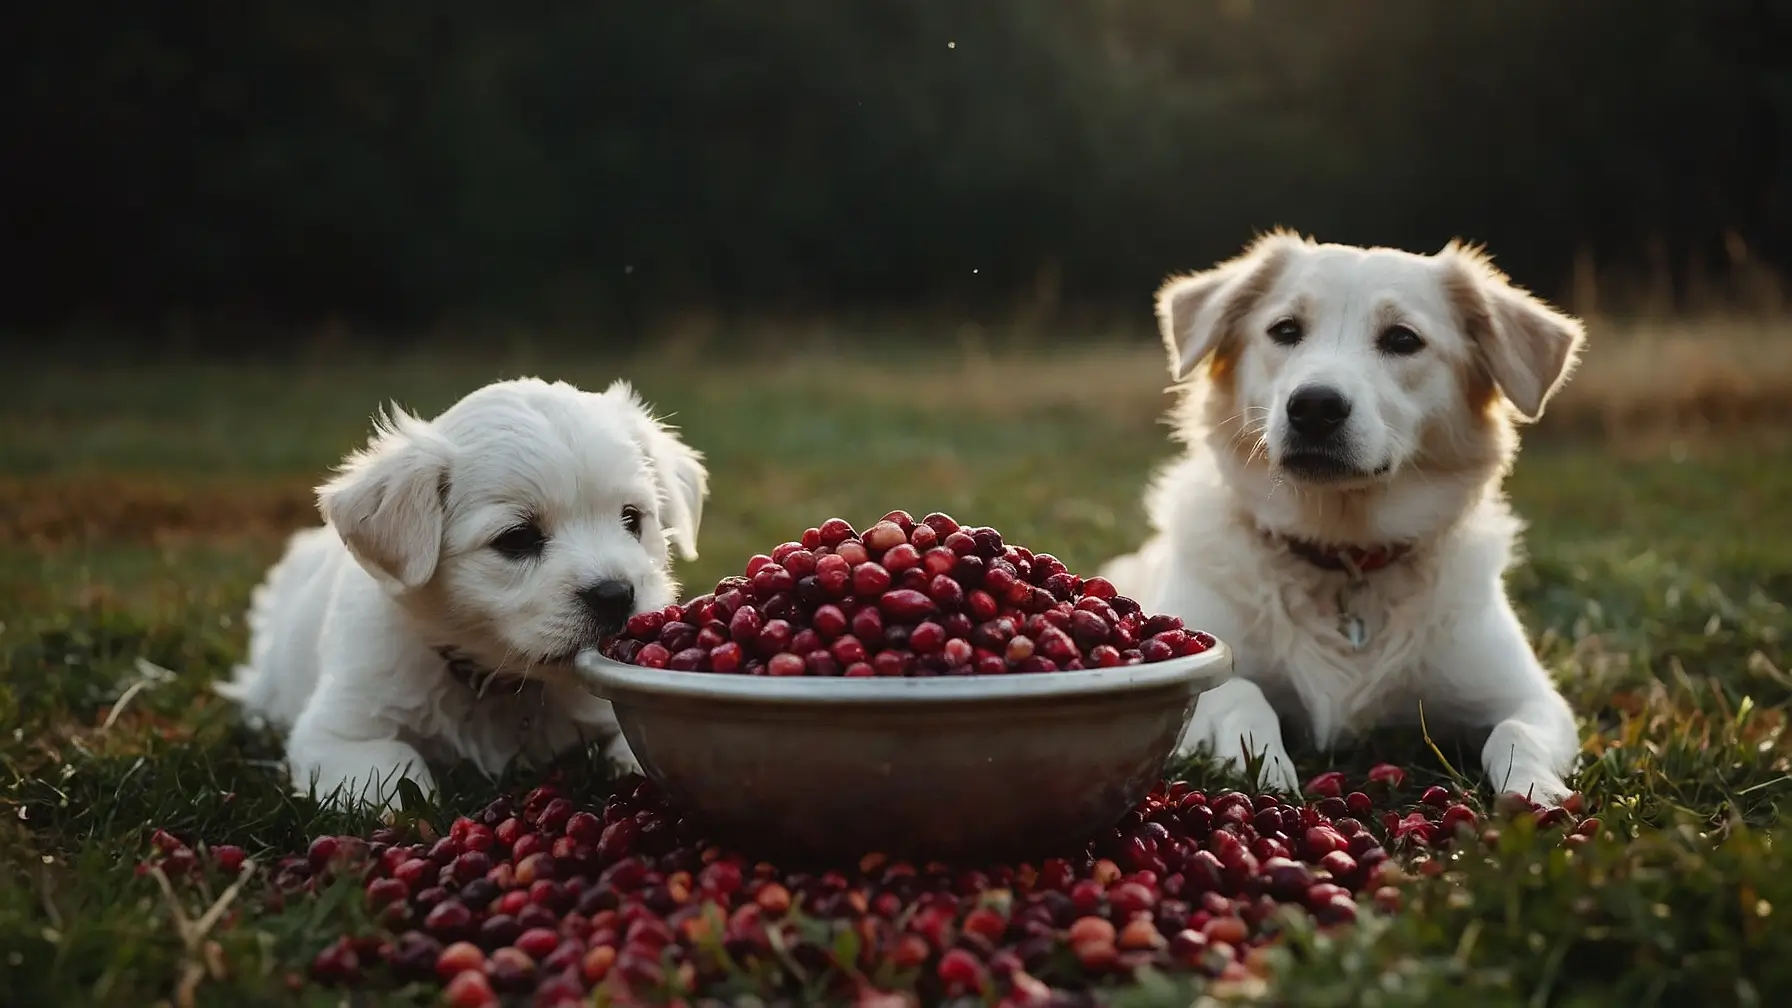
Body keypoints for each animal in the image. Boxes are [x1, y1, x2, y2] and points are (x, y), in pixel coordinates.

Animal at [216, 376, 706, 807]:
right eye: (517, 538)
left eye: (632, 518)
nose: (615, 594)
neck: (497, 681)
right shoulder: (340, 729)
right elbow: (396, 771)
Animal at [1103, 229, 1584, 799]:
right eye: (1285, 330)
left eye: (1403, 340)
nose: (1314, 406)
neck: (1341, 550)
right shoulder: (1194, 651)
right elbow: (1240, 692)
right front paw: (1263, 763)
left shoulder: (1529, 696)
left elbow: (1515, 732)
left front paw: (1537, 792)